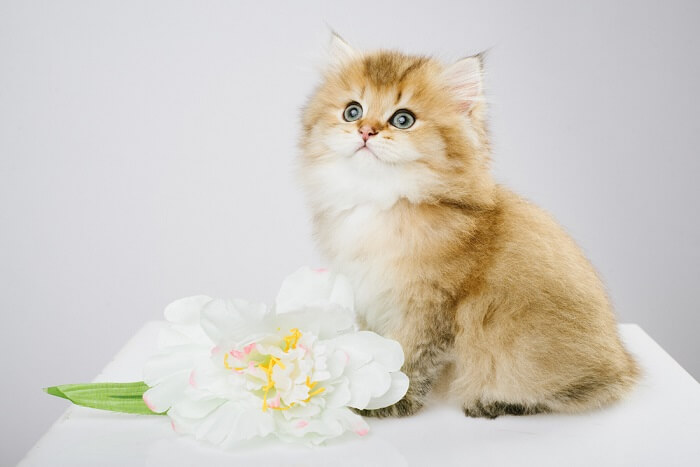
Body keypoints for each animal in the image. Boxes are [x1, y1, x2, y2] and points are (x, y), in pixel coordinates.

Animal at [298, 34, 636, 418]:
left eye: (403, 119)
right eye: (352, 111)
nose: (366, 130)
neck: (382, 202)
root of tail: (623, 366)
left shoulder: (427, 307)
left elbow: (407, 361)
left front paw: (388, 402)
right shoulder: (371, 297)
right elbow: (376, 348)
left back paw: (494, 402)